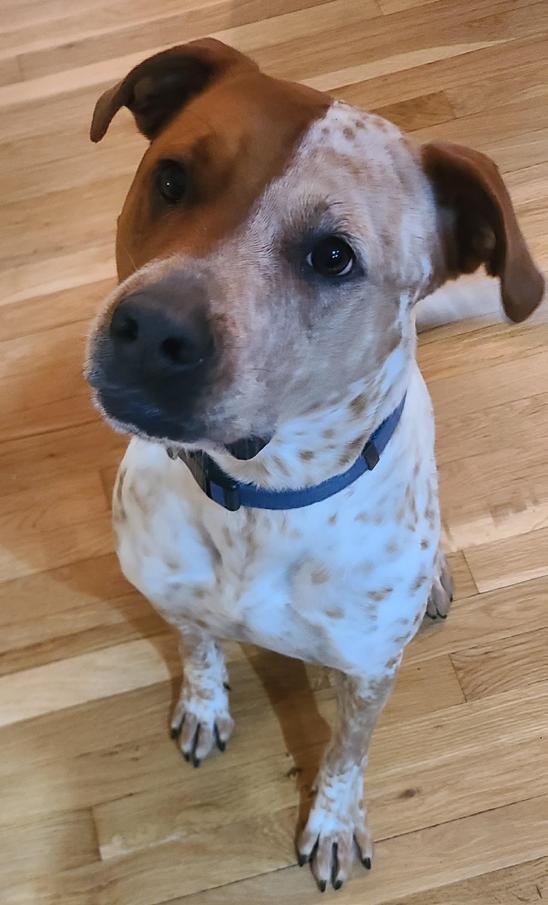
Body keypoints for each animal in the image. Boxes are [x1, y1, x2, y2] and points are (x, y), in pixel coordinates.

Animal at [85, 39, 544, 891]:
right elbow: (199, 650)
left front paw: (333, 821)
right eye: (171, 178)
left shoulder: (366, 675)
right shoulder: (174, 598)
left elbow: (345, 755)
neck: (260, 498)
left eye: (333, 257)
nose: (152, 331)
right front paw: (205, 703)